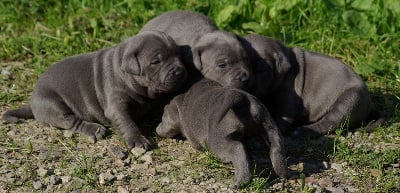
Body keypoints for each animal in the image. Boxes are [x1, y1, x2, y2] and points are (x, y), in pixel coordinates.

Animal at [2, 30, 187, 150]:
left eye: (178, 55)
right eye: (156, 62)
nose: (180, 71)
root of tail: (32, 102)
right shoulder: (116, 105)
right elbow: (126, 122)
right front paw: (137, 139)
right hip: (52, 104)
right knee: (70, 121)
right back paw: (94, 129)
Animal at [155, 78, 286, 187]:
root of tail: (241, 97)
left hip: (217, 141)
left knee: (237, 149)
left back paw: (240, 182)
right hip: (270, 126)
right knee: (276, 147)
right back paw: (283, 172)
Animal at [242, 34, 374, 137]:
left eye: (262, 69)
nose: (246, 82)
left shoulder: (288, 99)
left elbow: (281, 118)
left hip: (350, 100)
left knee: (329, 122)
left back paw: (302, 131)